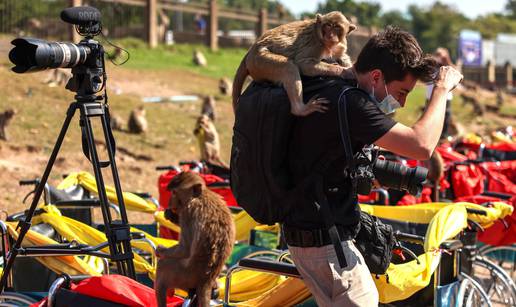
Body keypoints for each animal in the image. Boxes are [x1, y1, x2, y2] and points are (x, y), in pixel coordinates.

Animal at [153, 172, 234, 307]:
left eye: (174, 192)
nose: (170, 203)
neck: (201, 195)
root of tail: (207, 280)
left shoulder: (188, 212)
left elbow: (185, 249)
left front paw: (160, 250)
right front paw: (171, 215)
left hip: (184, 277)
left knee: (163, 265)